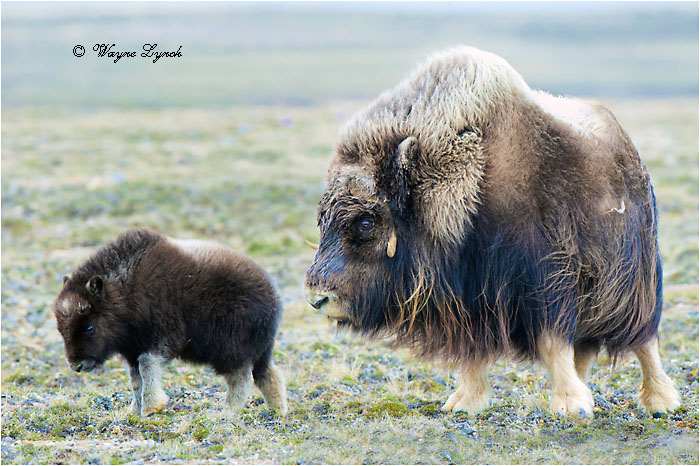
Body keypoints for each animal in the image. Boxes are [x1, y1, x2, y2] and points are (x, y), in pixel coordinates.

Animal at [53, 227, 287, 416]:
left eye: (89, 327)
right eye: (61, 330)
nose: (76, 365)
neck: (125, 293)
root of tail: (273, 298)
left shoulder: (161, 338)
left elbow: (146, 365)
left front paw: (151, 407)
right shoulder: (133, 348)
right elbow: (135, 378)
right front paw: (134, 411)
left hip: (229, 349)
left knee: (242, 377)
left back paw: (226, 411)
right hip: (258, 351)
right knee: (268, 374)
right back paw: (278, 410)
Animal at [303, 46, 680, 418]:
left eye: (366, 221)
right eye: (323, 219)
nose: (316, 298)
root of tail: (627, 149)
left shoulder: (545, 280)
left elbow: (551, 341)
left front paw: (570, 405)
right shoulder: (470, 297)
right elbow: (474, 349)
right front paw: (463, 402)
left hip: (633, 282)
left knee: (644, 340)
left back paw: (660, 400)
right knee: (585, 348)